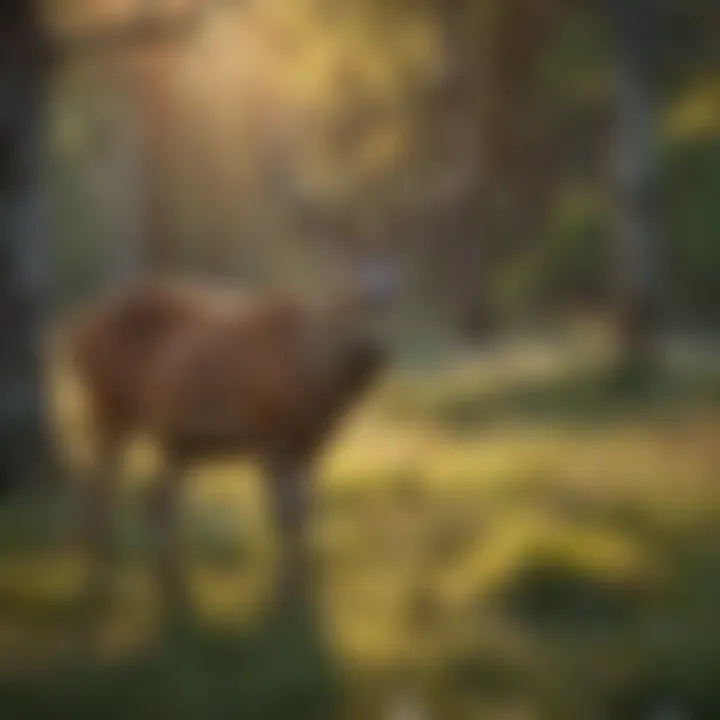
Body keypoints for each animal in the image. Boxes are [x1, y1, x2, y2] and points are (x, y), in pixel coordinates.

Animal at [67, 249, 398, 611]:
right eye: (350, 300)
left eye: (392, 302)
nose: (372, 353)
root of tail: (76, 332)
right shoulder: (270, 430)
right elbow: (285, 514)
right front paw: (286, 594)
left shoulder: (311, 443)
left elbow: (307, 510)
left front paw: (306, 585)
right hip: (109, 404)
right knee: (102, 485)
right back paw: (99, 569)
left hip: (176, 437)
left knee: (153, 497)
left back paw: (168, 582)